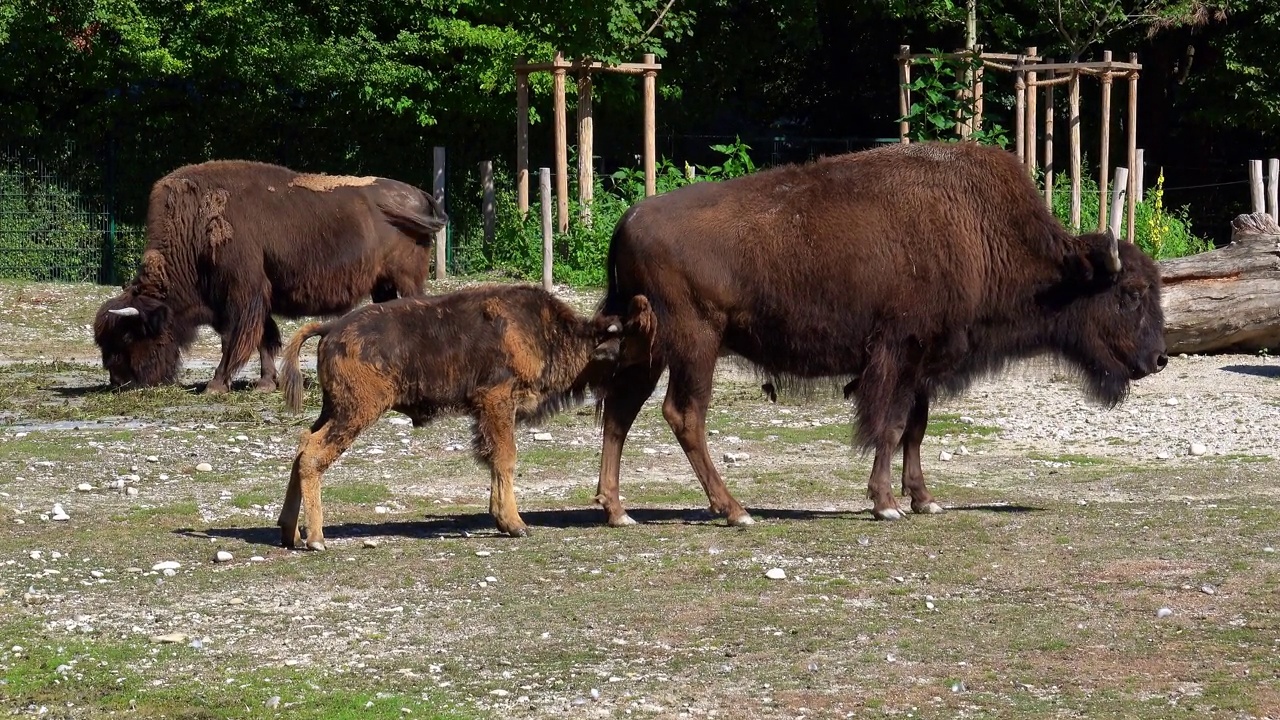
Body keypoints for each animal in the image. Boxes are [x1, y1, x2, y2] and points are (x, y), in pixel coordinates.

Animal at [93, 158, 445, 392]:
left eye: (128, 336)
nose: (118, 381)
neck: (194, 228)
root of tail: (419, 195)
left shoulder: (241, 295)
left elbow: (236, 339)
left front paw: (215, 385)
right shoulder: (254, 298)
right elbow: (264, 337)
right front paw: (266, 382)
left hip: (406, 280)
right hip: (382, 285)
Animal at [270, 283, 650, 545]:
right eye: (625, 345)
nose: (641, 377)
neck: (547, 331)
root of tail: (331, 329)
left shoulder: (489, 413)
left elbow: (493, 459)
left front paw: (502, 520)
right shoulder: (497, 401)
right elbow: (505, 457)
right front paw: (516, 525)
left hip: (334, 410)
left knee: (302, 446)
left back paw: (290, 533)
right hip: (356, 412)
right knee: (313, 454)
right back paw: (316, 539)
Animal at [588, 140, 1172, 525]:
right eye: (1130, 293)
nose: (1160, 359)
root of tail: (629, 218)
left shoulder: (927, 364)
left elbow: (915, 429)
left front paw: (924, 500)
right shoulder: (899, 354)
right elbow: (889, 427)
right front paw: (886, 505)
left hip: (648, 346)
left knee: (620, 411)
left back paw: (618, 511)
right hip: (696, 342)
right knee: (683, 415)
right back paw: (734, 511)